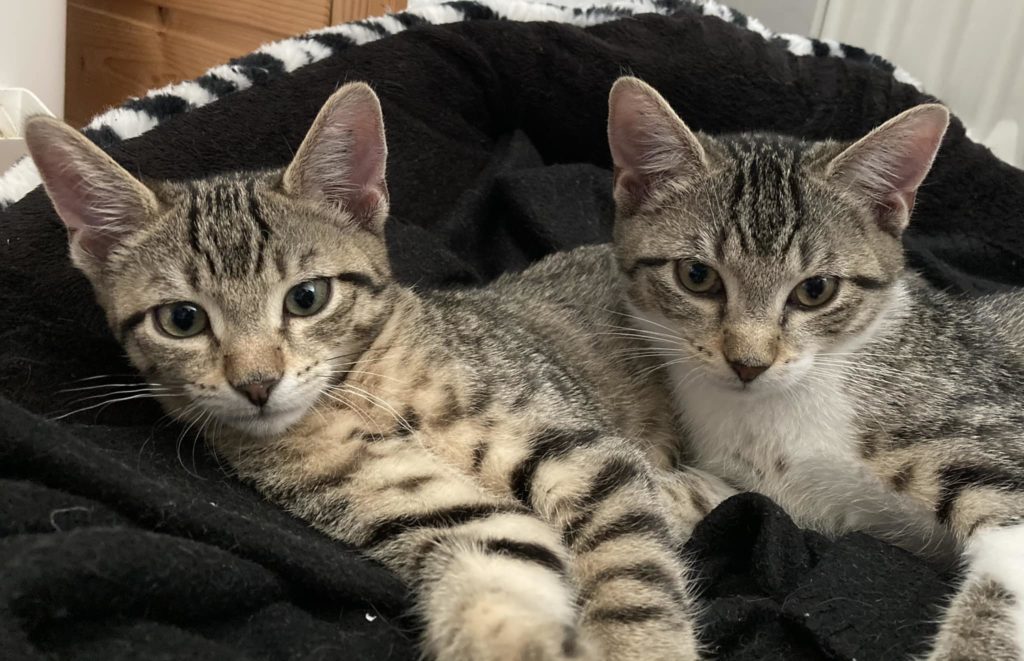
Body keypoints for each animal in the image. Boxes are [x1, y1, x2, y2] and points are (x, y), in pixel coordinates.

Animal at [24, 82, 737, 661]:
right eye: (181, 320)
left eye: (307, 298)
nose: (256, 383)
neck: (365, 393)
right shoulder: (451, 517)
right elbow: (500, 576)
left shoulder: (585, 454)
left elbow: (632, 571)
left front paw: (640, 647)